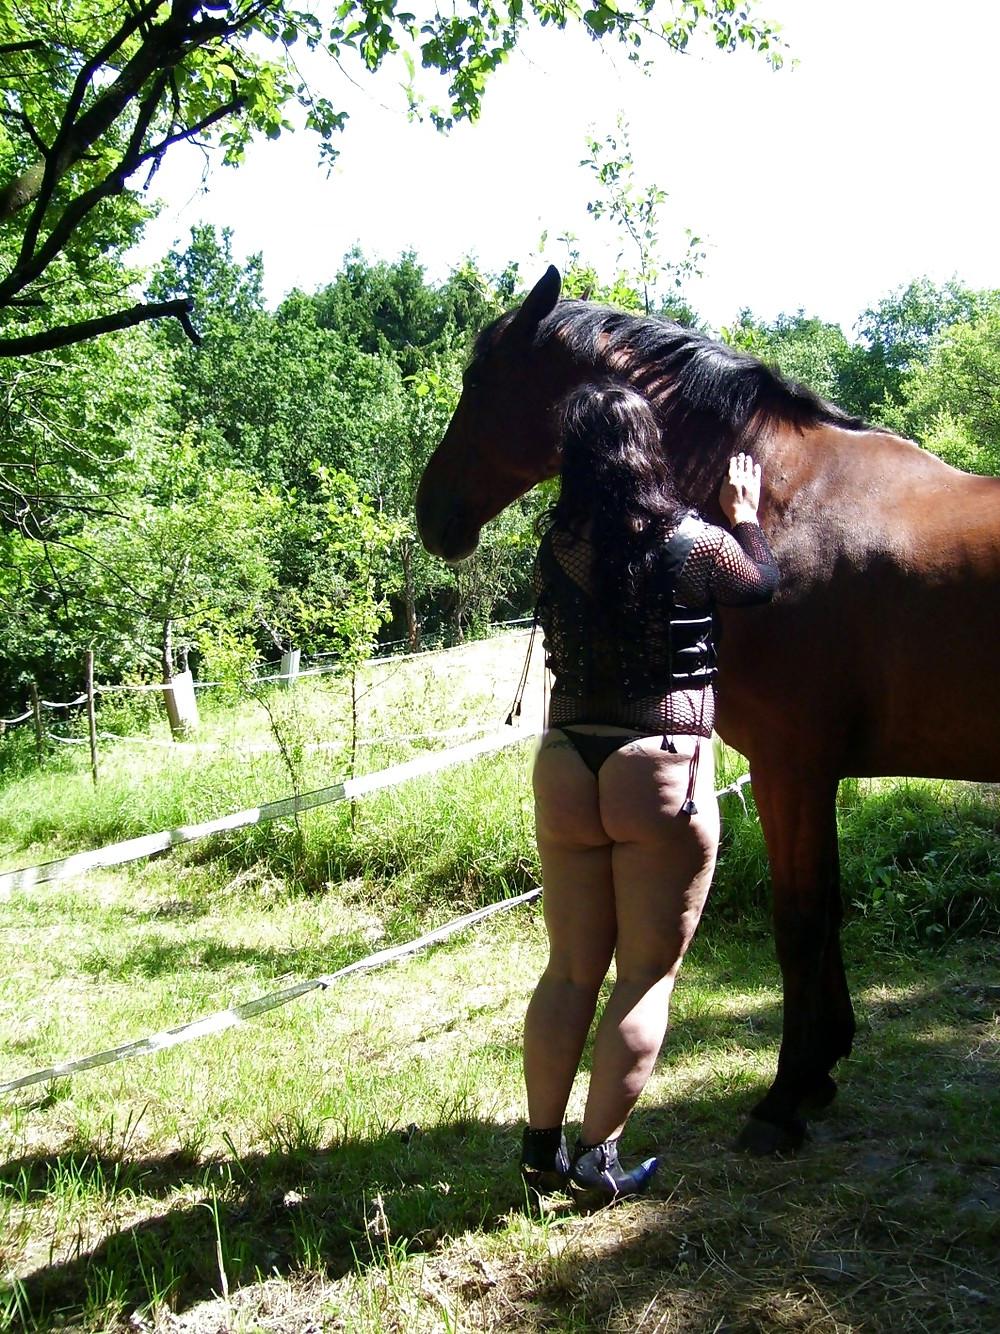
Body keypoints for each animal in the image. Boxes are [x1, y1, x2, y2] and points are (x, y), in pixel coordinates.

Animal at [415, 265, 1000, 1154]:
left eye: (478, 382)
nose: (430, 513)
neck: (790, 507)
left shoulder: (791, 770)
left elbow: (801, 920)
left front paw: (785, 1097)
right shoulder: (805, 775)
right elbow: (825, 911)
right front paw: (821, 1067)